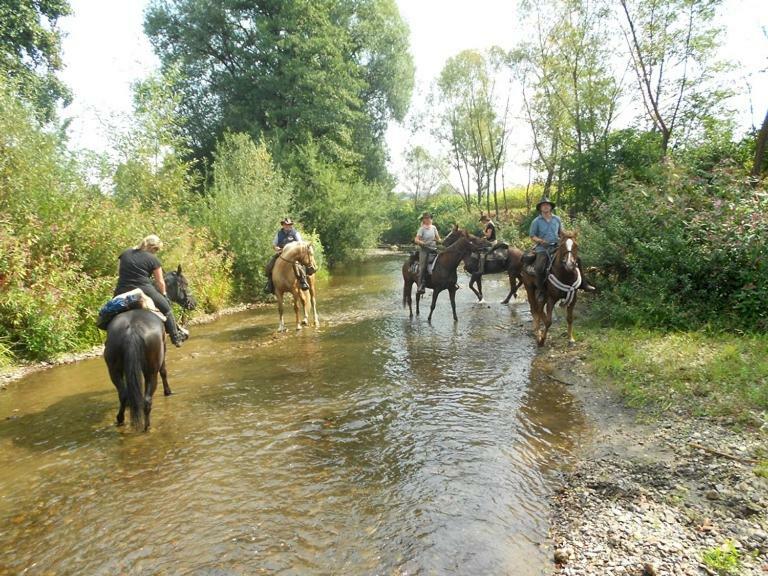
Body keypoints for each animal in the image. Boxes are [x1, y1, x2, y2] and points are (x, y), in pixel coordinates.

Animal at [103, 266, 196, 432]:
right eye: (185, 283)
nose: (193, 303)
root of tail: (132, 328)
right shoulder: (163, 349)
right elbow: (164, 371)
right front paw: (168, 392)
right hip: (150, 371)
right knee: (147, 399)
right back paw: (147, 427)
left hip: (114, 369)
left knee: (123, 394)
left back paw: (120, 420)